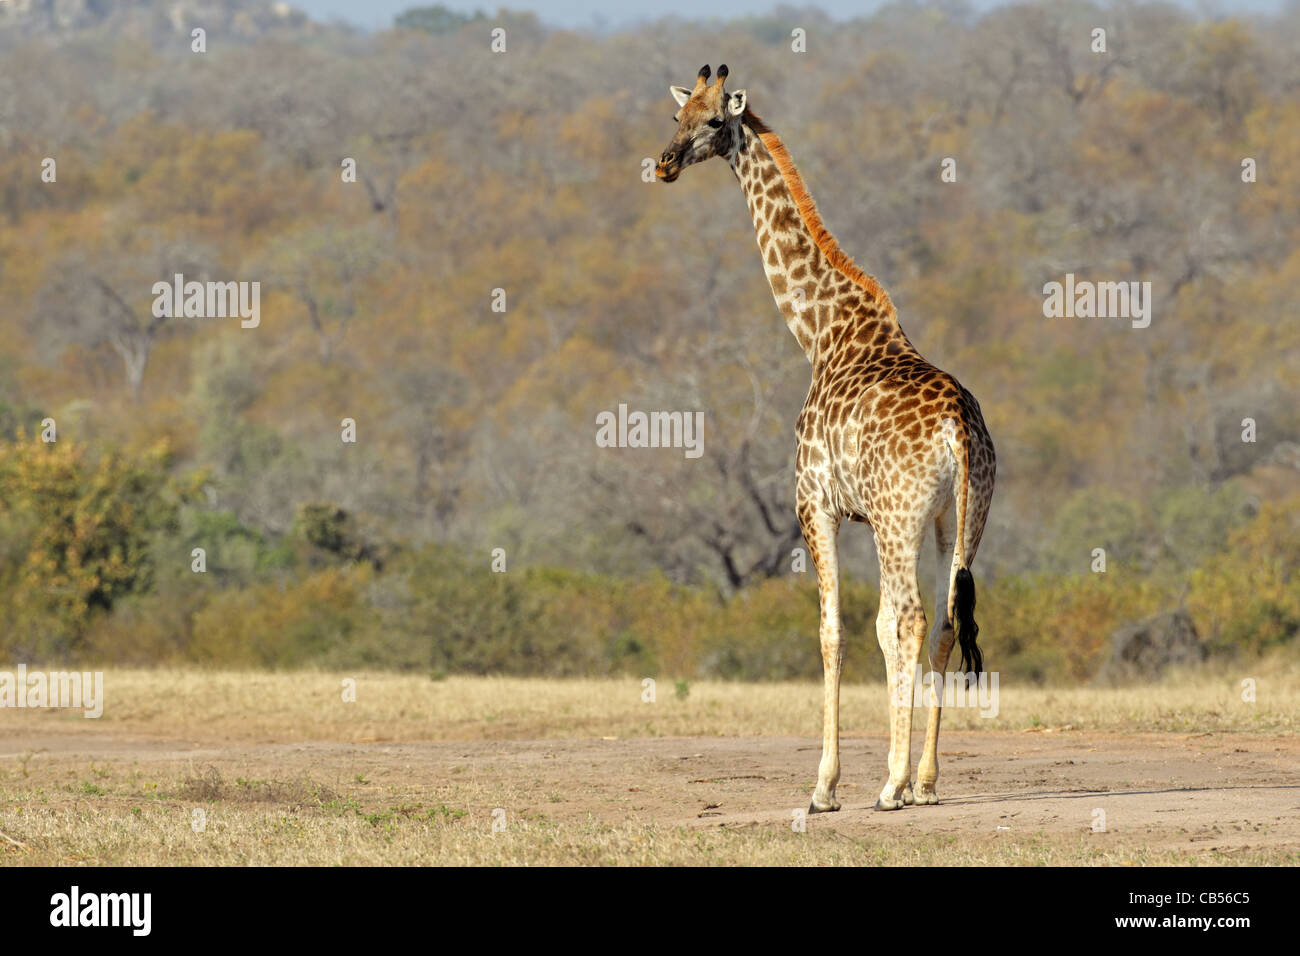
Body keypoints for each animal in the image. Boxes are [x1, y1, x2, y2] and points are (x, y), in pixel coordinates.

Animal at [655, 65, 996, 812]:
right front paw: (896, 777)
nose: (662, 164)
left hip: (901, 519)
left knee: (913, 617)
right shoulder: (868, 515)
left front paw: (826, 786)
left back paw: (892, 785)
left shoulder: (816, 504)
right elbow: (874, 630)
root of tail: (959, 430)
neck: (821, 332)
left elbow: (834, 631)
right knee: (943, 618)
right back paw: (925, 783)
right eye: (674, 117)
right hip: (958, 518)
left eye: (712, 123)